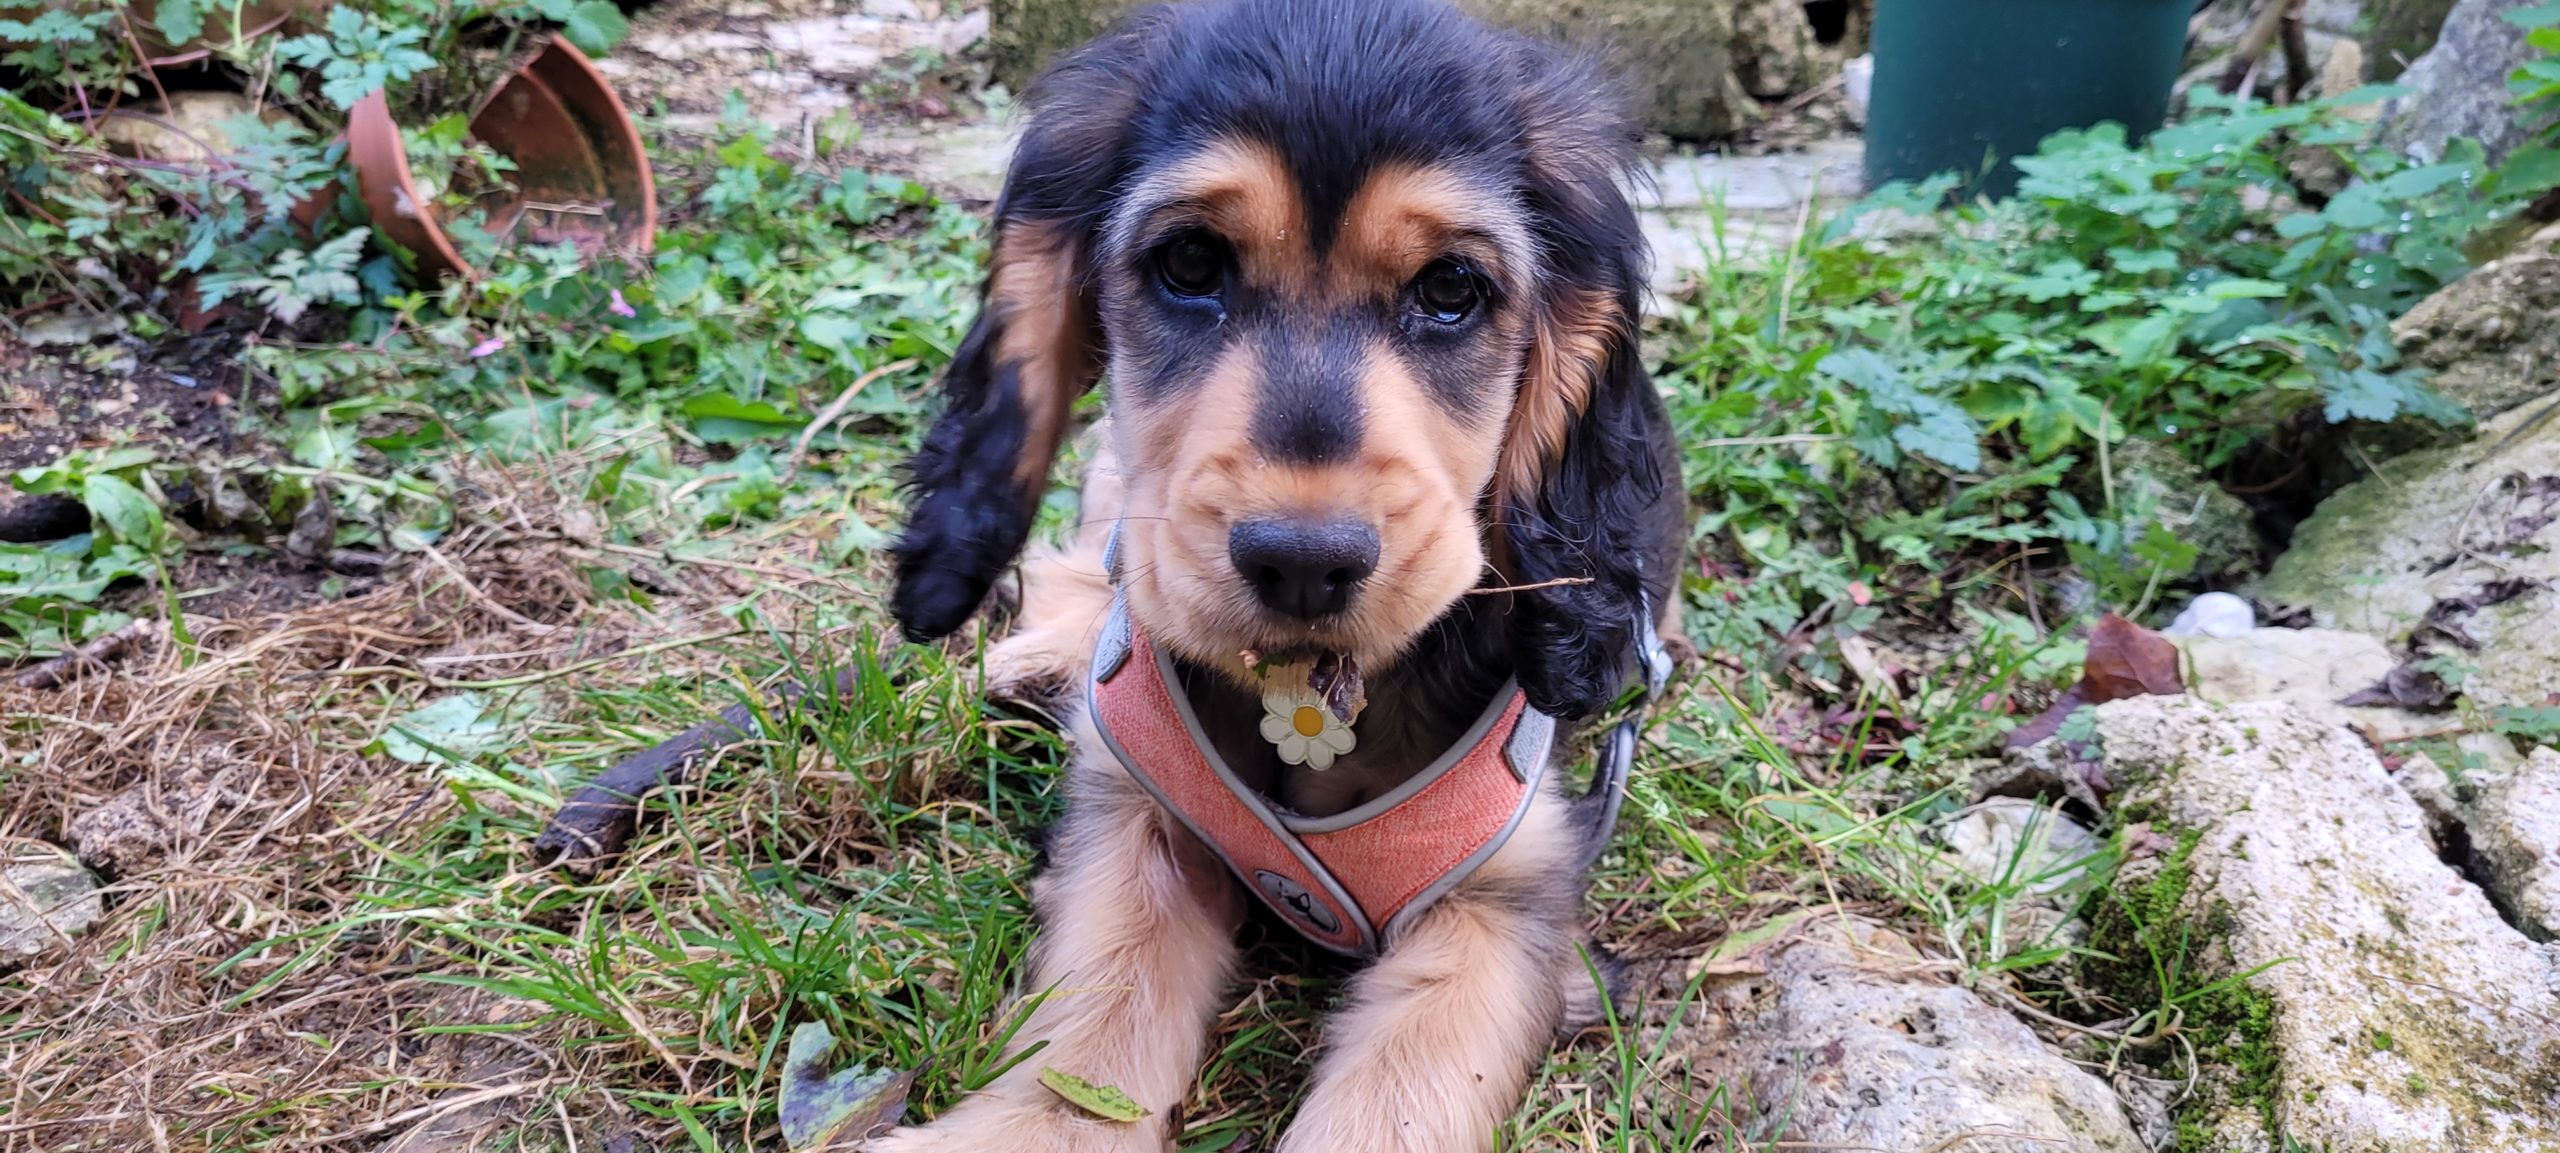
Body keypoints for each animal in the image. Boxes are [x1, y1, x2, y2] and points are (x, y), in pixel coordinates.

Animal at [875, 4, 1679, 1147]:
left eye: (1451, 290)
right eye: (1189, 263)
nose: (1303, 564)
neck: (1310, 696)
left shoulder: (1507, 903)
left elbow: (1402, 1096)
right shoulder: (1136, 816)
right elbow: (1098, 1015)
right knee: (1086, 566)